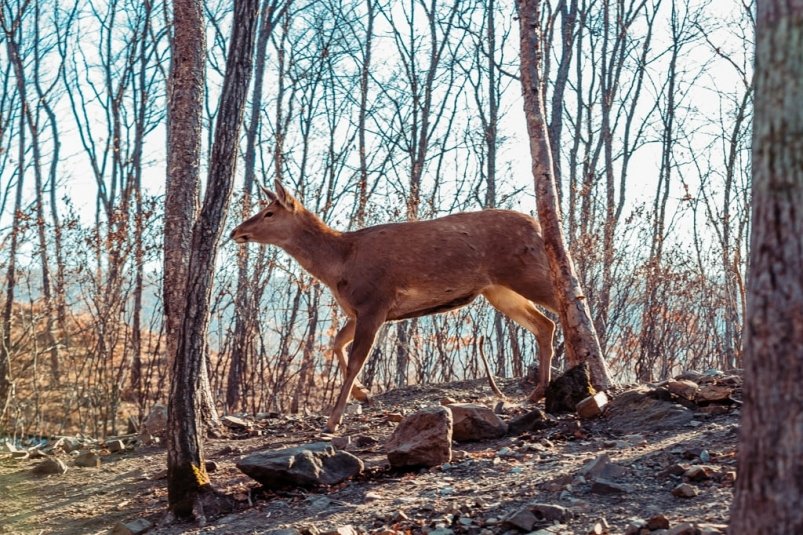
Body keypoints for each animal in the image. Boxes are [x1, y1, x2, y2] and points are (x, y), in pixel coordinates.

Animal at [232, 182, 560, 434]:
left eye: (269, 213)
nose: (236, 231)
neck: (338, 265)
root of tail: (536, 226)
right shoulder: (359, 310)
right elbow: (336, 342)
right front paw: (363, 394)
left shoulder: (374, 302)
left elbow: (356, 360)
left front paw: (334, 420)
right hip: (499, 290)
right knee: (545, 324)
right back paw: (537, 392)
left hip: (529, 274)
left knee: (565, 303)